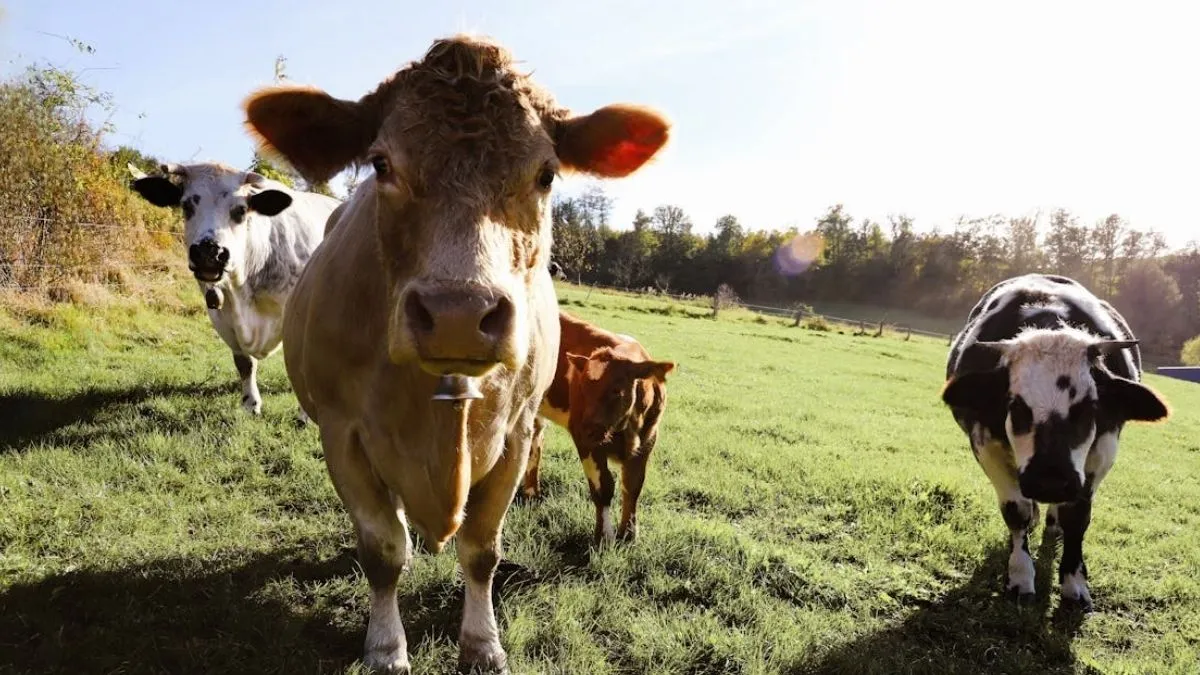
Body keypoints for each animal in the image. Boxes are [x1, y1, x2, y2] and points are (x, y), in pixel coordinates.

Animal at [129, 161, 340, 416]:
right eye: (187, 205)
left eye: (240, 210)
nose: (209, 252)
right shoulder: (223, 316)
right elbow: (244, 364)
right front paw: (251, 404)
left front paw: (305, 414)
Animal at [520, 311, 675, 545]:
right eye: (582, 388)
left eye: (617, 390)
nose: (587, 429)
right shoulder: (587, 442)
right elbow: (603, 487)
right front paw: (603, 537)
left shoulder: (648, 441)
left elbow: (633, 486)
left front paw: (629, 534)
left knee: (534, 439)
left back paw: (531, 492)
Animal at [942, 273, 1170, 610]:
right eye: (1016, 406)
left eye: (1088, 407)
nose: (1050, 482)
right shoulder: (985, 446)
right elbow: (1017, 510)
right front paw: (1021, 575)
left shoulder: (1102, 453)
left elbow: (1077, 517)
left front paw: (1075, 583)